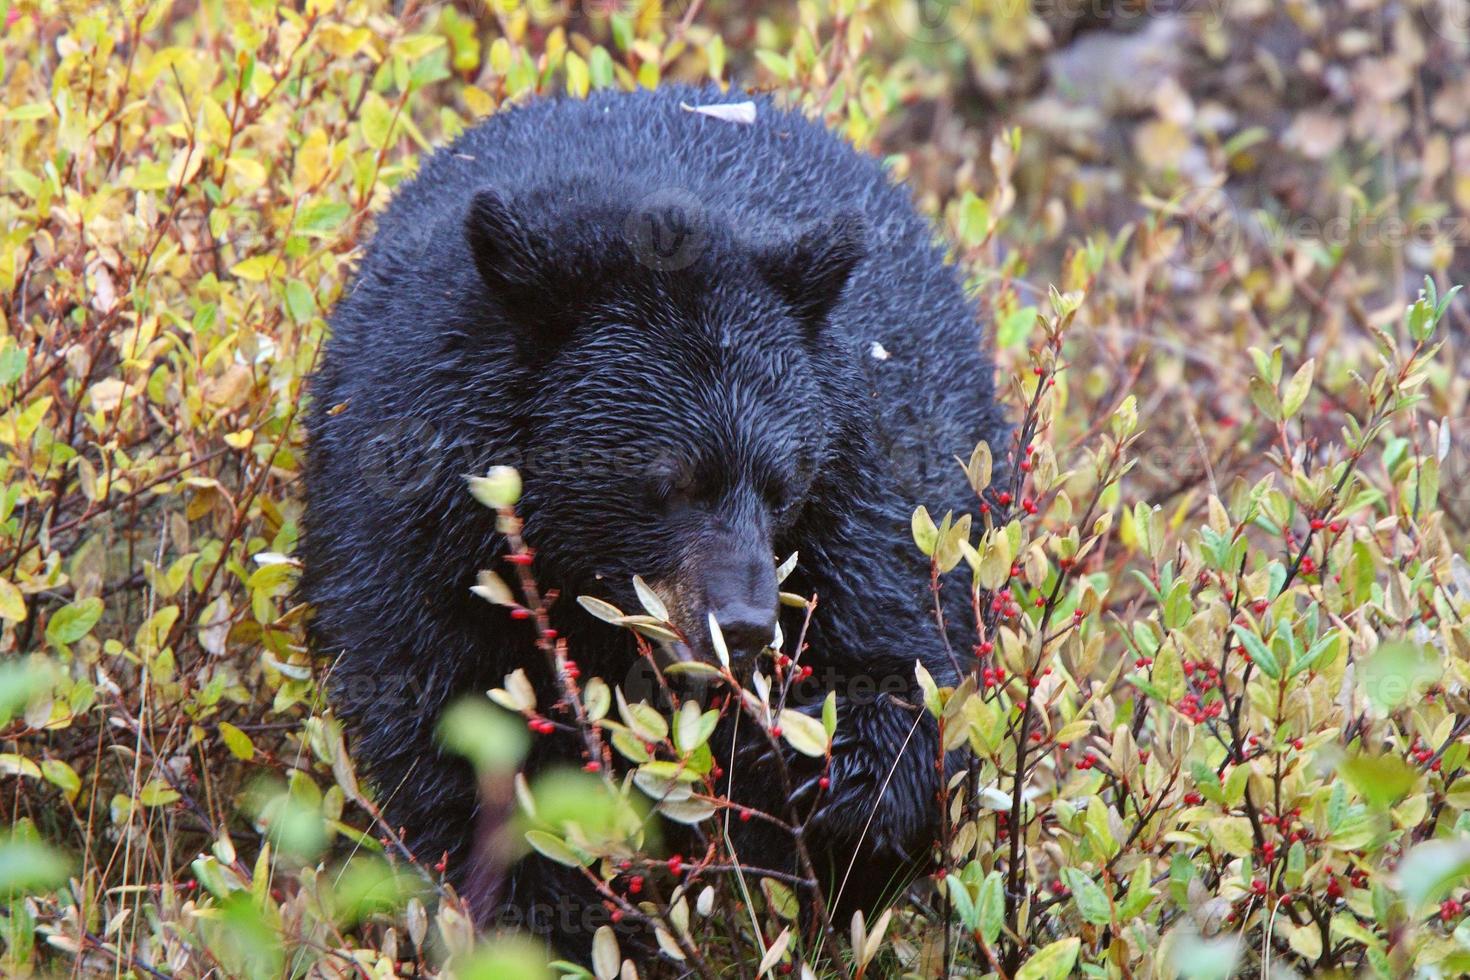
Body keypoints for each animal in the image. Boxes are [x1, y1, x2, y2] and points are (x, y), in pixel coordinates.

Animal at [301, 84, 1011, 957]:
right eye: (665, 483)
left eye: (782, 485)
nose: (744, 626)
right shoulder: (416, 524)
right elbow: (450, 733)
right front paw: (554, 924)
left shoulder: (864, 475)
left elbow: (904, 668)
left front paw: (834, 775)